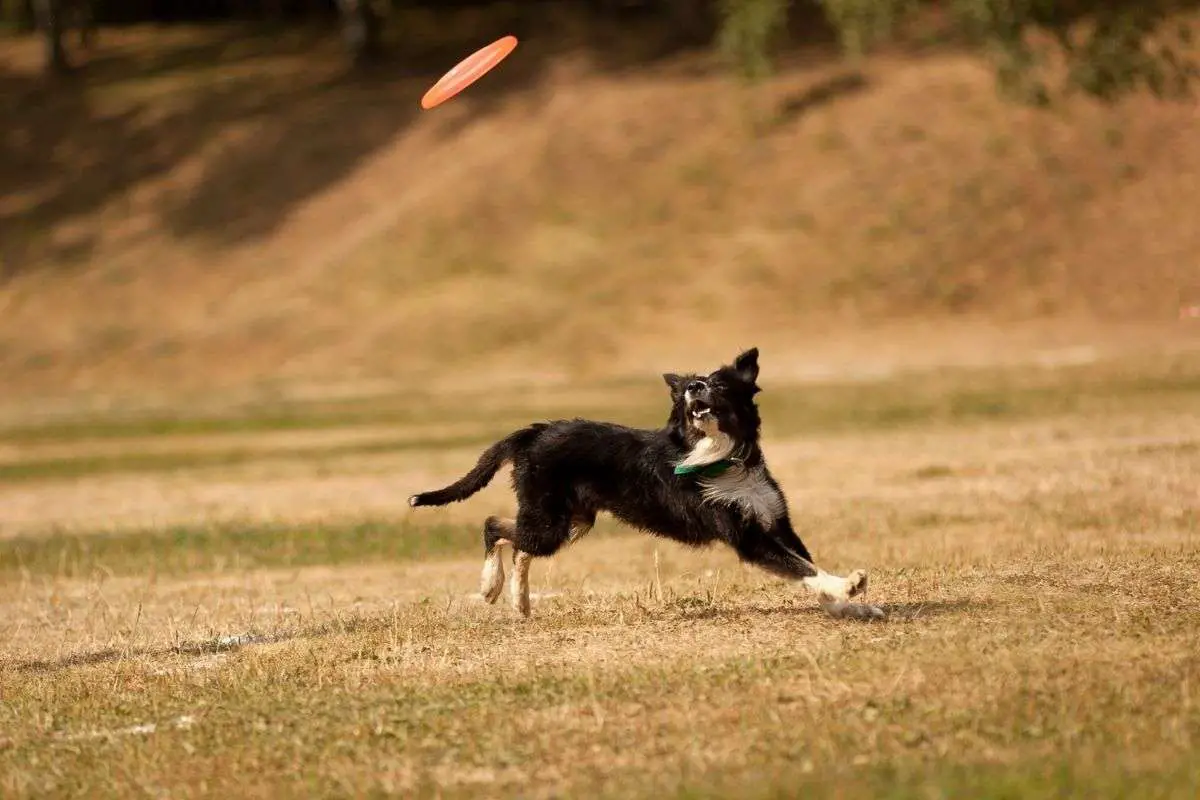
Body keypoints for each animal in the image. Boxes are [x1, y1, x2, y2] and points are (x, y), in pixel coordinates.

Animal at [408, 347, 888, 618]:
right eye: (688, 388)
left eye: (718, 383)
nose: (694, 386)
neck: (722, 458)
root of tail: (535, 431)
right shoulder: (748, 538)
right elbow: (803, 568)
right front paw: (848, 587)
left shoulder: (776, 522)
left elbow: (807, 566)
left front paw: (849, 605)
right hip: (550, 519)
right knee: (494, 527)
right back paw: (490, 587)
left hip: (572, 520)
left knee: (519, 545)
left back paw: (519, 602)